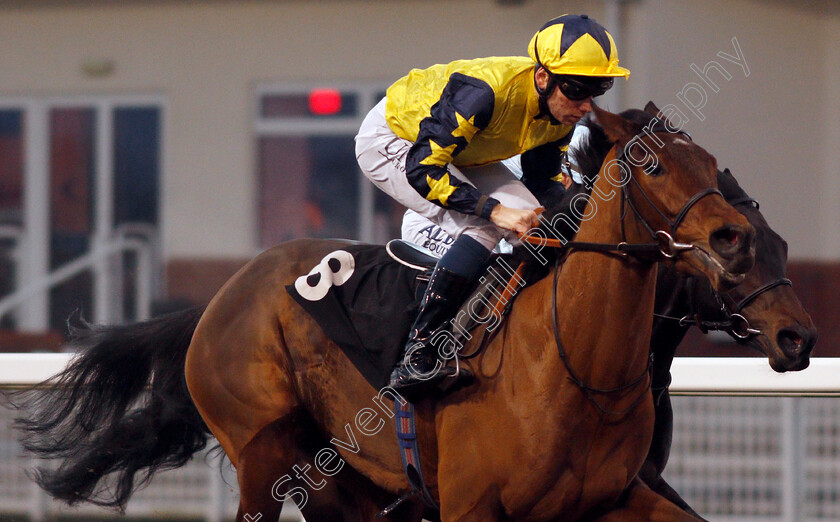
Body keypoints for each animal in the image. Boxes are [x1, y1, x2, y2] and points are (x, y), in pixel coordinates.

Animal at [14, 103, 760, 516]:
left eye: (712, 162)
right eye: (655, 167)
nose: (734, 237)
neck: (575, 365)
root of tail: (221, 297)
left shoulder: (611, 497)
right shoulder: (471, 505)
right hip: (270, 455)